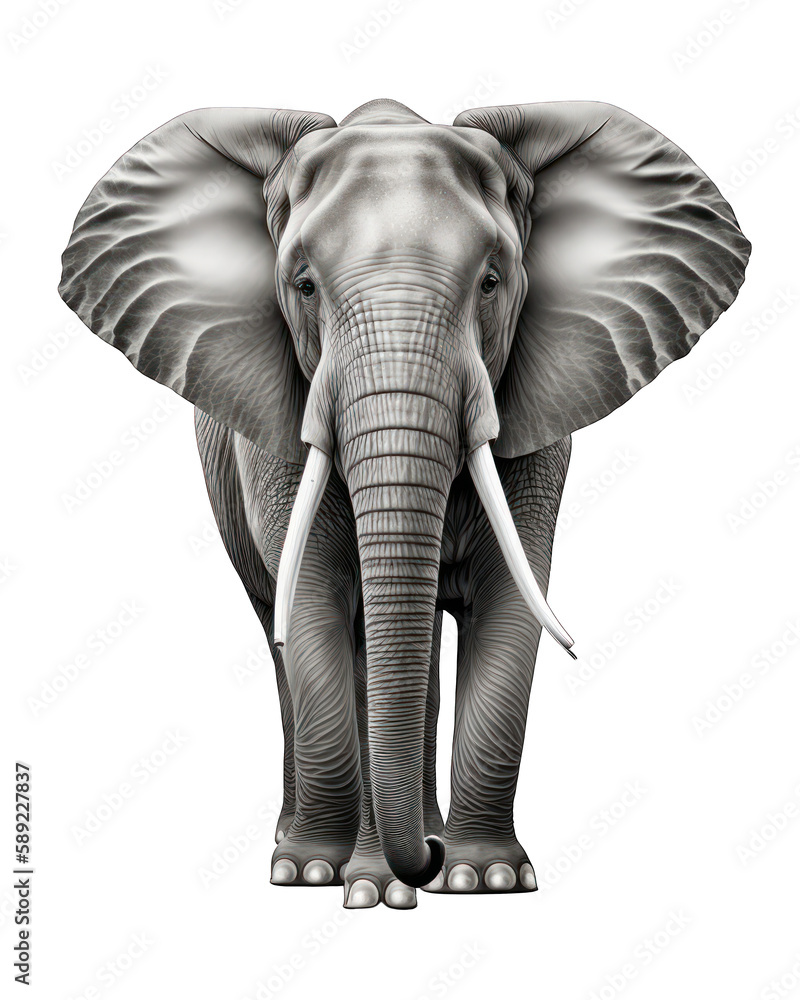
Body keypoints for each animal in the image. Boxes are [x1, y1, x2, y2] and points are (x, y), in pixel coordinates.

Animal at [59, 98, 749, 909]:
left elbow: (510, 599)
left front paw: (483, 878)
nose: (417, 860)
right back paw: (304, 853)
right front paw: (341, 880)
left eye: (491, 282)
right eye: (303, 286)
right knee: (283, 633)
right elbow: (318, 602)